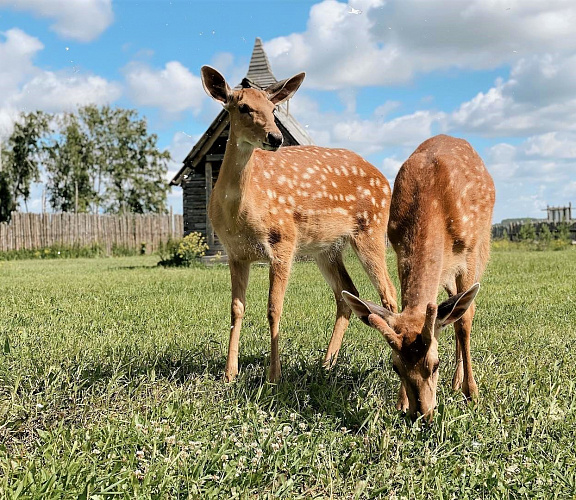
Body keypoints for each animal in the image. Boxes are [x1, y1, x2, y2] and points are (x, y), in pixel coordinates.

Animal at [201, 66, 396, 382]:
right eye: (243, 107)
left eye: (273, 108)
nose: (275, 137)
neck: (240, 210)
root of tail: (384, 179)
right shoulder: (235, 252)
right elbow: (236, 308)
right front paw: (229, 373)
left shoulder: (284, 240)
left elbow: (273, 308)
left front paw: (274, 375)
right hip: (326, 249)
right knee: (347, 295)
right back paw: (327, 363)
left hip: (371, 229)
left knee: (388, 293)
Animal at [342, 135, 496, 420]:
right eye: (395, 367)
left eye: (435, 364)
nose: (421, 414)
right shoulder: (397, 244)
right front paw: (400, 403)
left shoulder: (468, 251)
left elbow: (465, 319)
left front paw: (472, 393)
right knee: (450, 306)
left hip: (482, 246)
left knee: (462, 314)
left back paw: (459, 383)